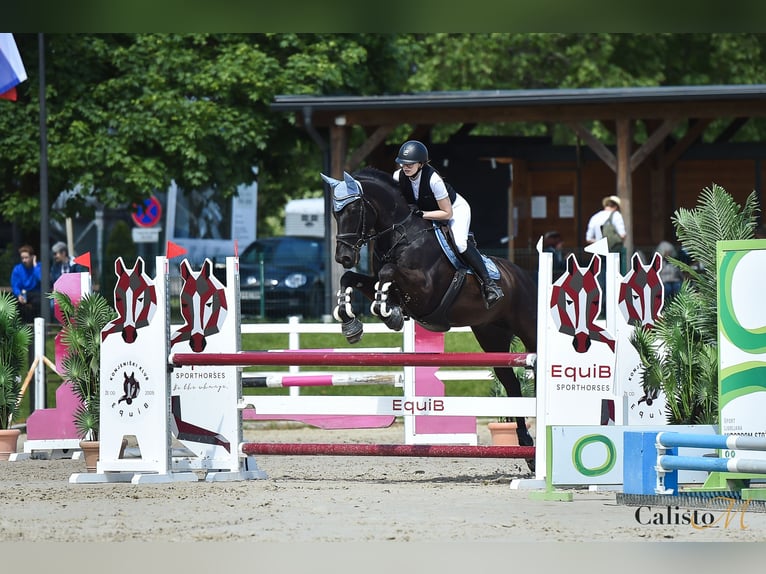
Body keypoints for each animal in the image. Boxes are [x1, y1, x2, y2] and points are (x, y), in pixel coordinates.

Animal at [322, 169, 538, 447]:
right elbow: (352, 278)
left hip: (529, 328)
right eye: (335, 213)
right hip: (492, 336)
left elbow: (388, 271)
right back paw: (524, 440)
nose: (344, 257)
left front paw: (389, 313)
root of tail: (522, 275)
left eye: (353, 209)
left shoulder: (424, 290)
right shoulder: (380, 282)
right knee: (511, 384)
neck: (400, 235)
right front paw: (352, 323)